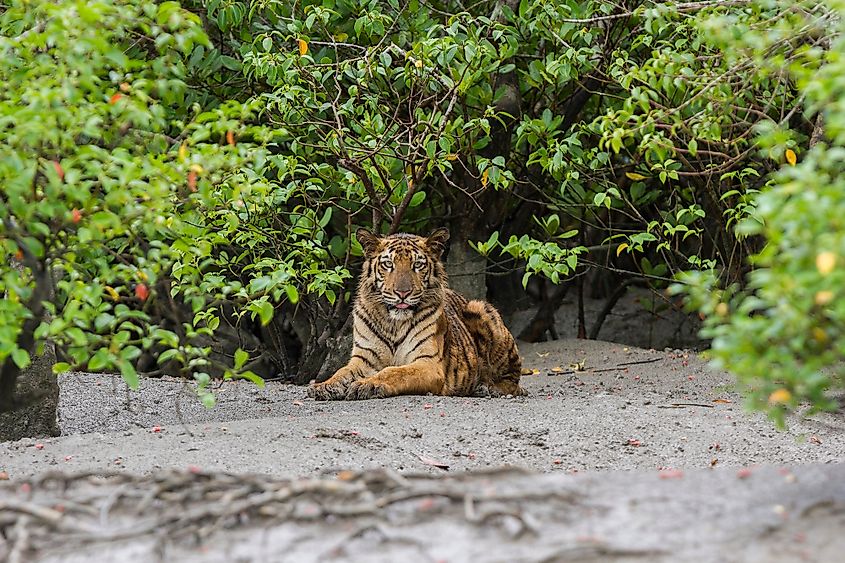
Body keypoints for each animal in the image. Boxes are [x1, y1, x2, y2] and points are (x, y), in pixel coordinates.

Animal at [306, 228, 524, 400]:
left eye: (417, 265)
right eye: (388, 264)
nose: (402, 293)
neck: (393, 323)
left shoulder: (427, 363)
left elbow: (393, 372)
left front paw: (367, 385)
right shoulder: (363, 359)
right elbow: (342, 372)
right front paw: (324, 386)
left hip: (481, 309)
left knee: (513, 380)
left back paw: (488, 388)